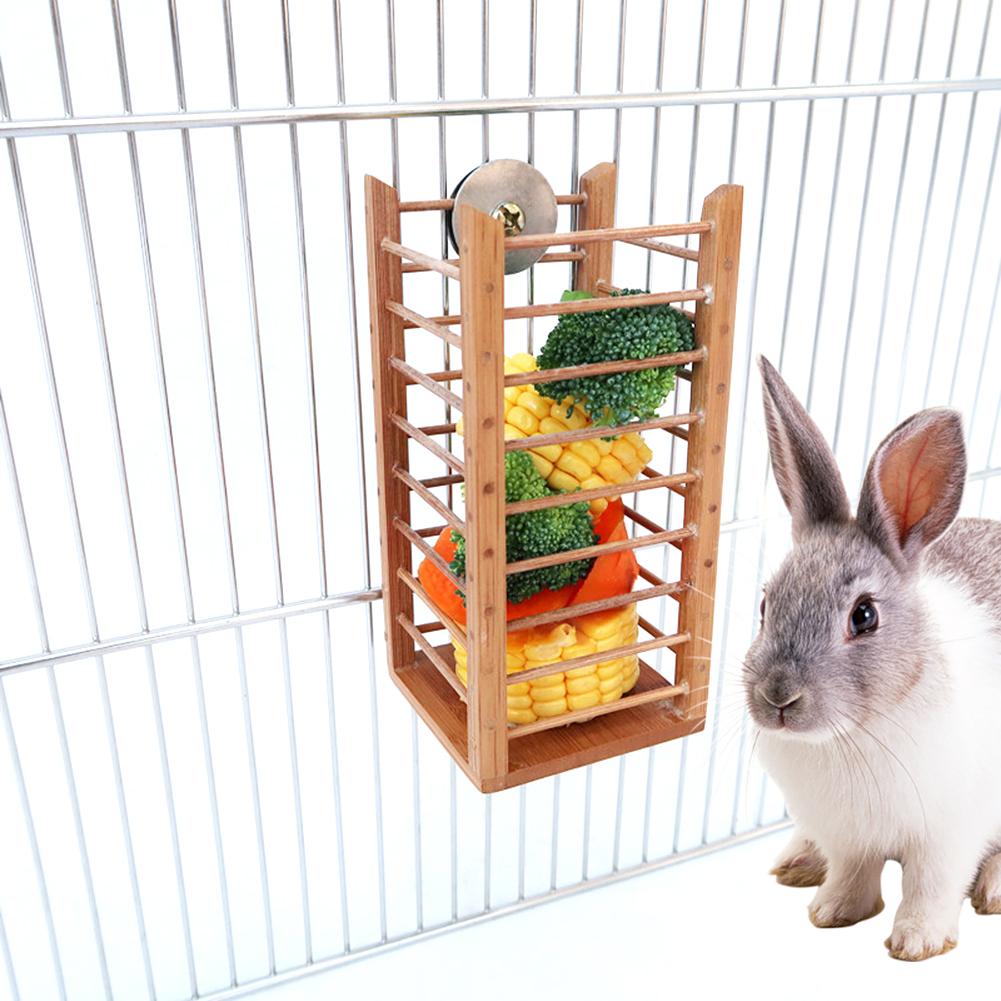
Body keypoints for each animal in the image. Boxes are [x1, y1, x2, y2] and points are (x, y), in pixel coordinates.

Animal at [743, 355, 1001, 961]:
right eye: (765, 604)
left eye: (864, 616)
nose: (778, 697)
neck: (853, 736)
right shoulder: (848, 838)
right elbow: (853, 874)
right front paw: (832, 913)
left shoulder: (950, 833)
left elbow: (930, 886)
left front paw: (917, 943)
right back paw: (796, 864)